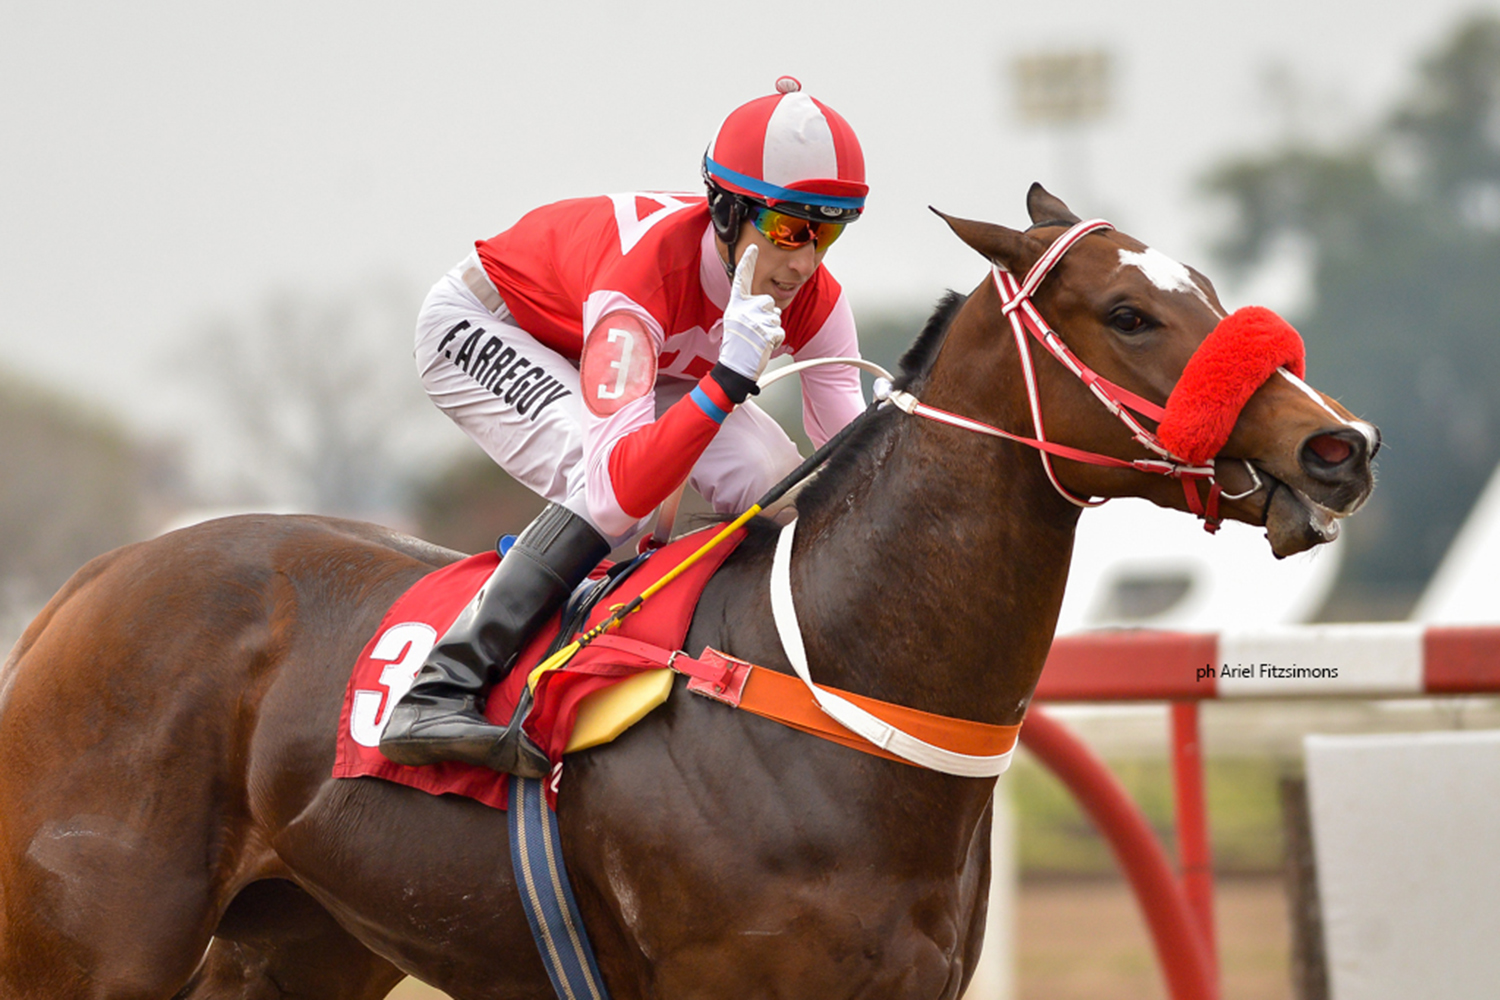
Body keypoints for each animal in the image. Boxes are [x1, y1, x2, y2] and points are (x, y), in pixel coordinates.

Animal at [0, 186, 1376, 1000]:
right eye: (1131, 312)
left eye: (1207, 288)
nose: (1337, 446)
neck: (842, 680)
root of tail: (79, 587)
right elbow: (614, 464)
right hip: (87, 952)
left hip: (301, 945)